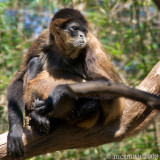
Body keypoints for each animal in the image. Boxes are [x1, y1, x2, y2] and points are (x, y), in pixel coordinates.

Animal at [7, 8, 125, 159]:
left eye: (84, 30)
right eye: (74, 28)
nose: (81, 35)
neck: (65, 51)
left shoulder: (91, 44)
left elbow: (112, 87)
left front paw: (59, 92)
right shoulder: (43, 38)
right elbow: (18, 80)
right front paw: (15, 132)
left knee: (91, 104)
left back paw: (51, 120)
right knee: (35, 60)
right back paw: (33, 115)